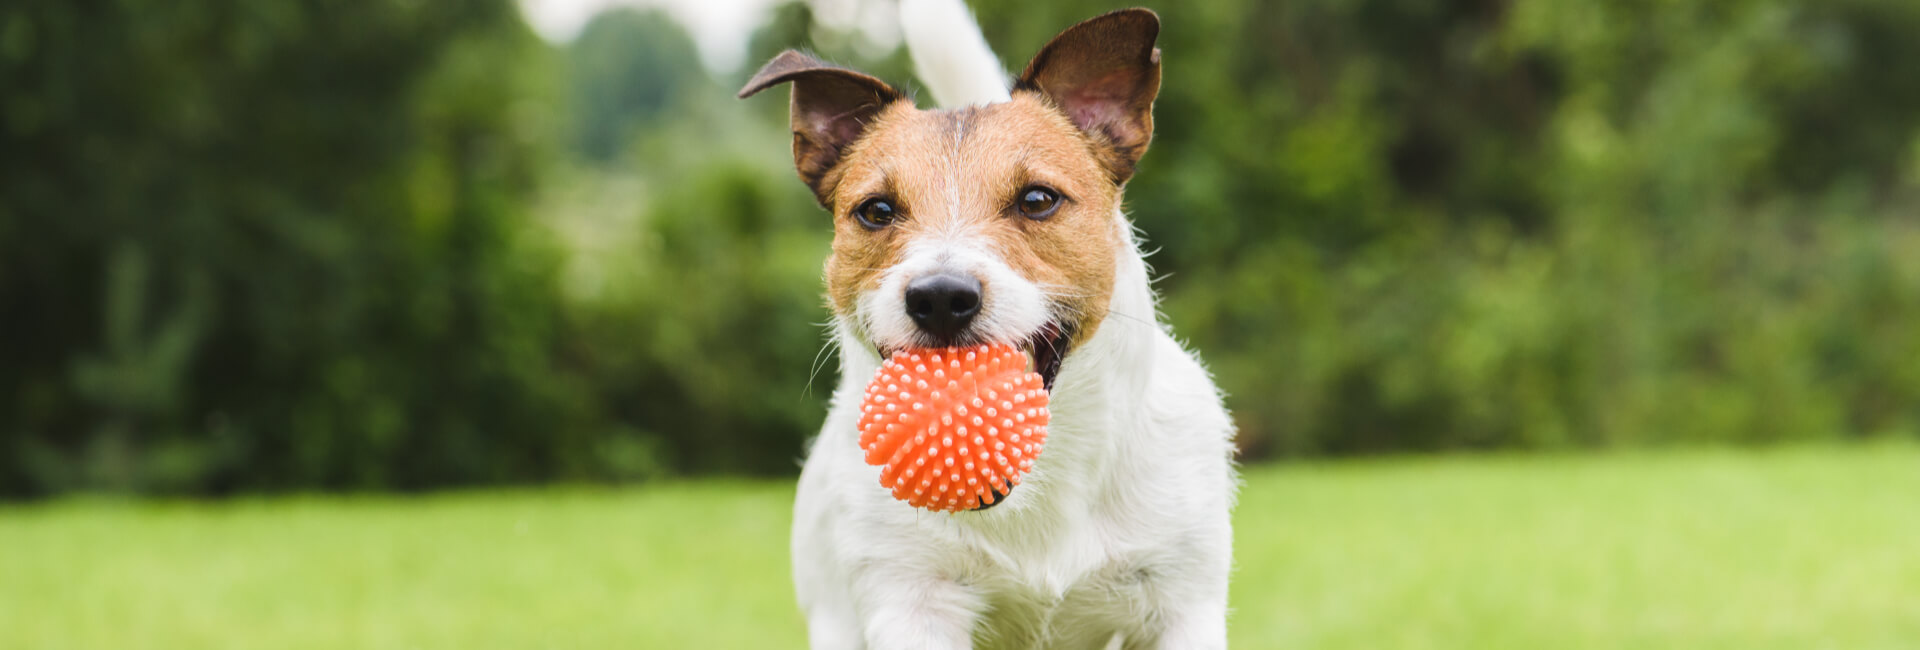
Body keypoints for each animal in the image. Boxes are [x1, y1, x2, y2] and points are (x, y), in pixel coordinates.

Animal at [741, 3, 1236, 648]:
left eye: (1037, 199)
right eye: (876, 211)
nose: (940, 297)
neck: (1036, 489)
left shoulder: (1181, 602)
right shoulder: (911, 601)